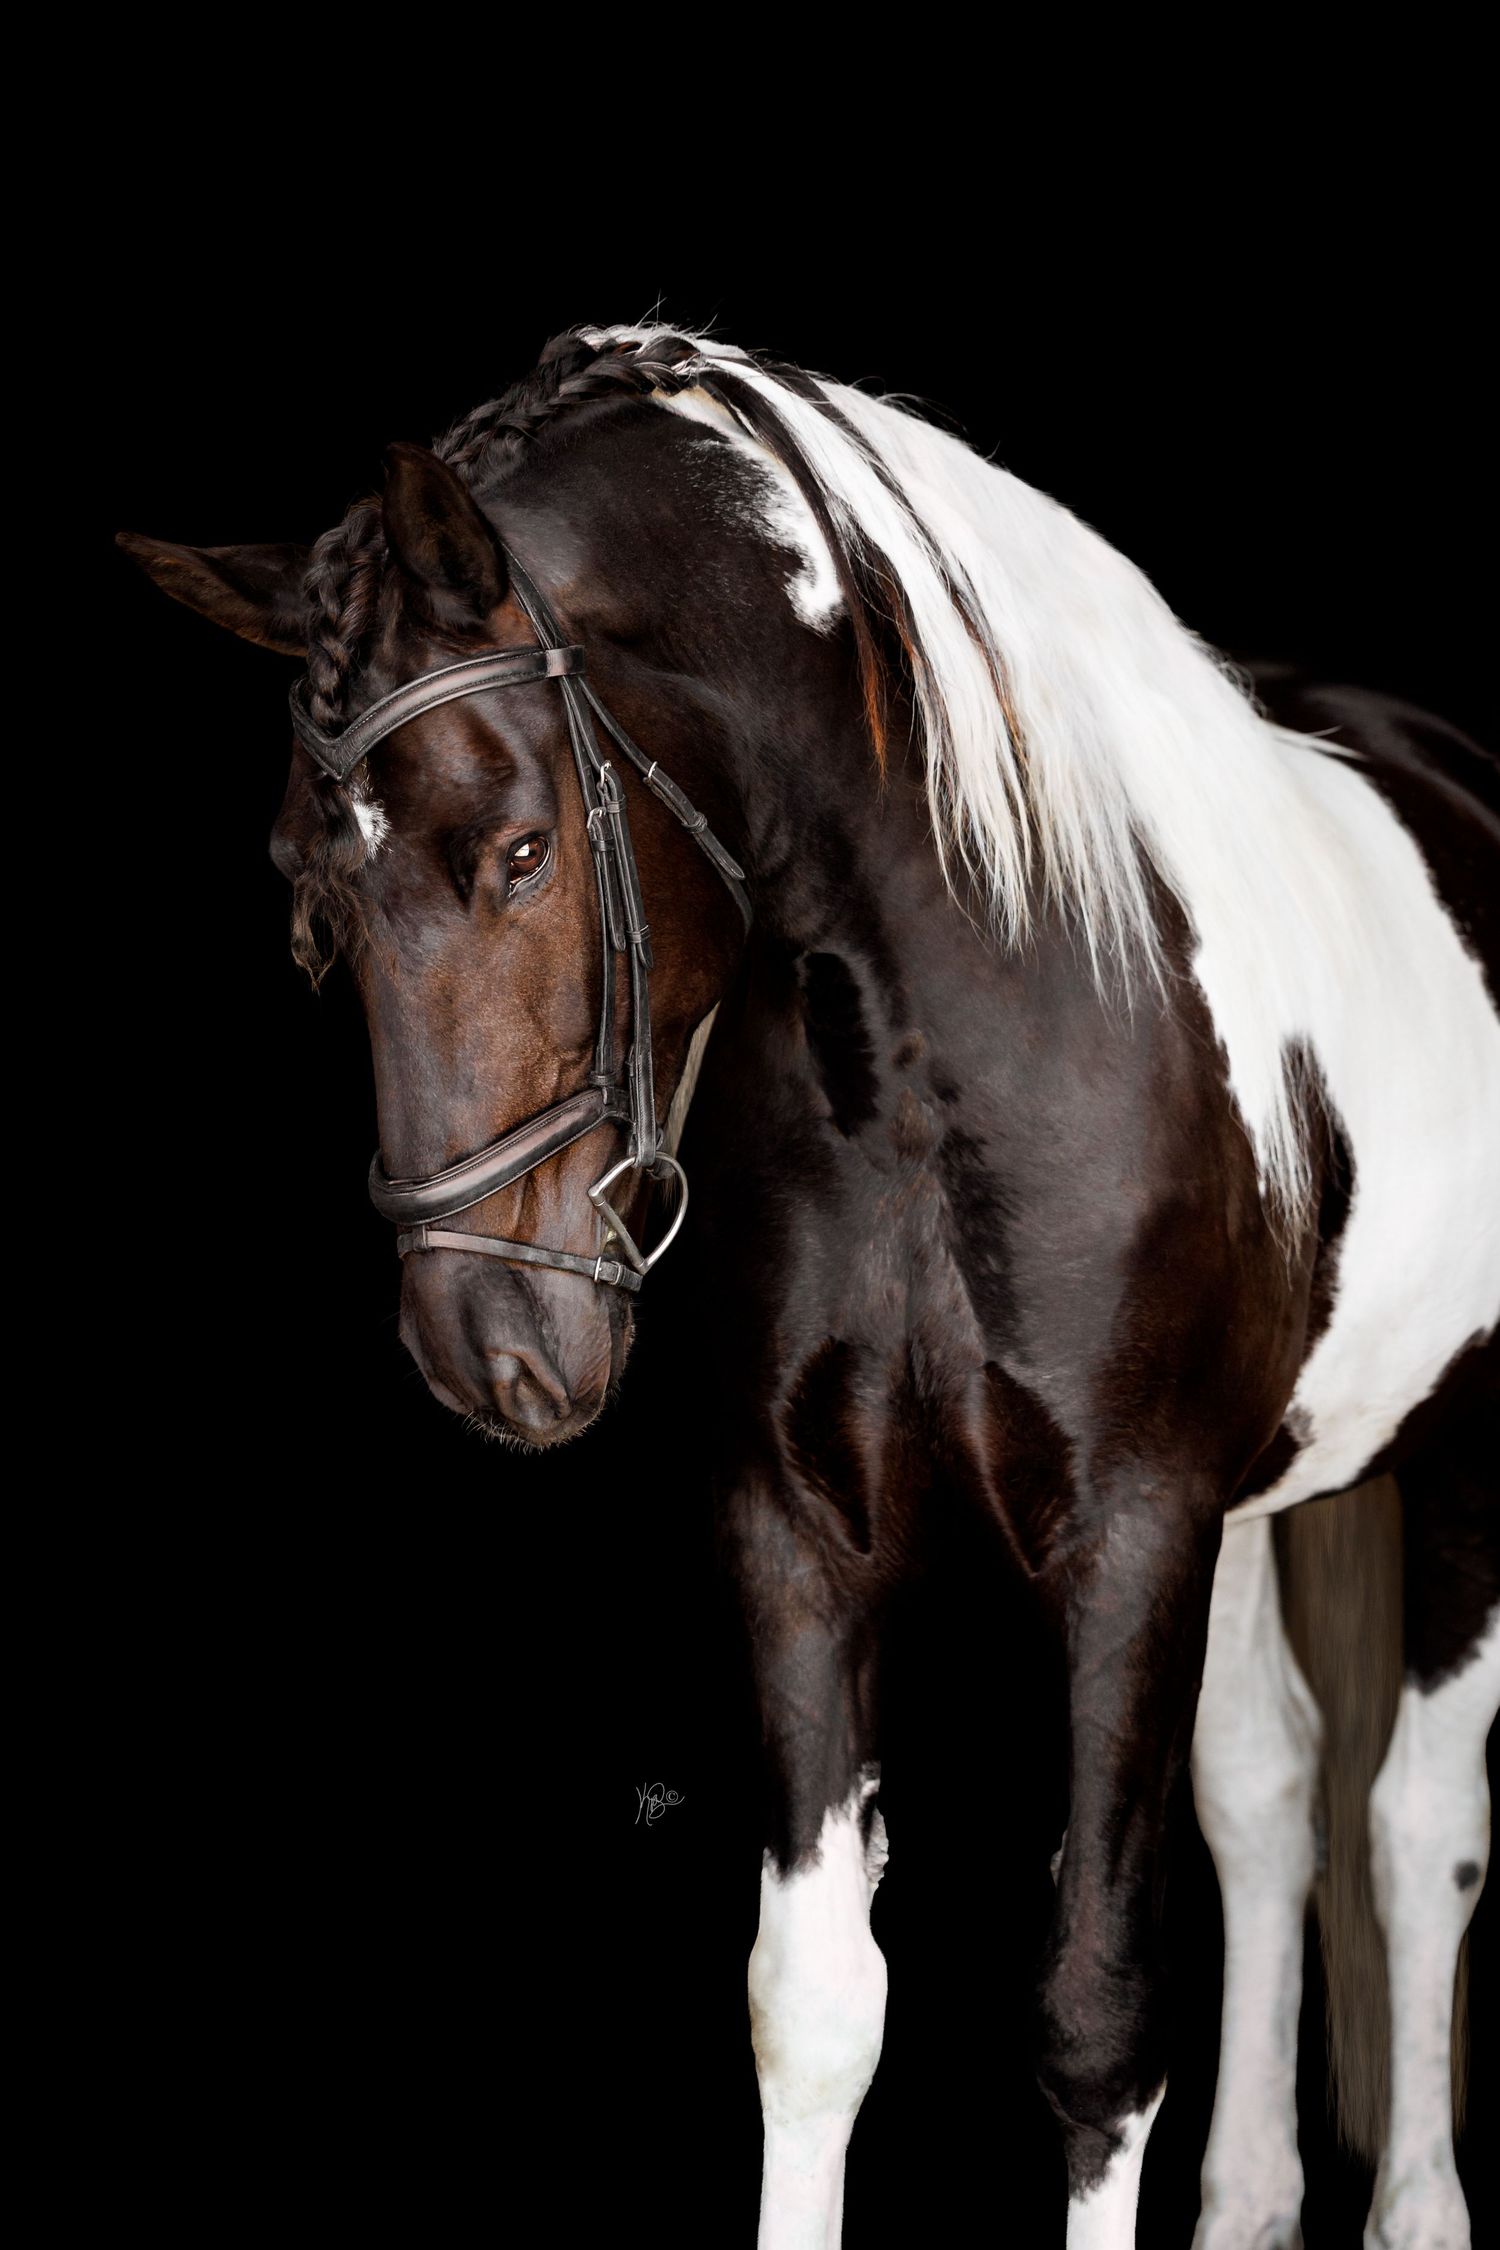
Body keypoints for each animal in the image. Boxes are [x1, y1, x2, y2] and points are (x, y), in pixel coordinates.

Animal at [119, 323, 1499, 2249]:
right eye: (306, 894)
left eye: (522, 847)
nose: (489, 1342)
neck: (944, 1043)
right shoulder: (801, 1532)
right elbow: (814, 2006)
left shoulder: (1130, 1536)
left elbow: (1099, 2016)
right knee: (1272, 1787)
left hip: (1448, 1456)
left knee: (1418, 1823)